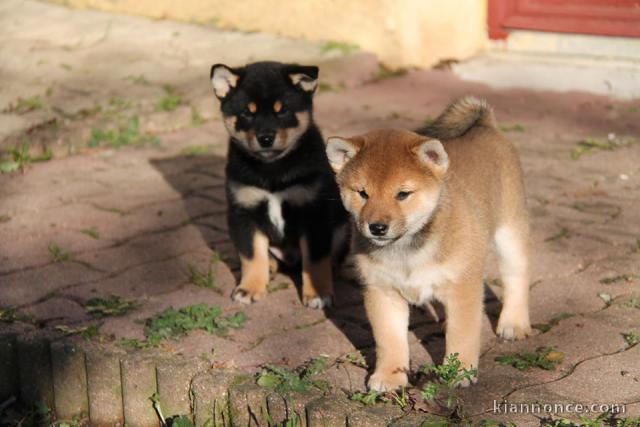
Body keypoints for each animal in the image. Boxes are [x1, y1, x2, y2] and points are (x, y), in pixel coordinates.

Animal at [211, 61, 348, 308]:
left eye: (282, 110)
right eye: (247, 113)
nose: (265, 138)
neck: (271, 169)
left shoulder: (314, 211)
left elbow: (315, 259)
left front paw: (319, 292)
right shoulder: (243, 212)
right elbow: (251, 254)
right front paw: (250, 287)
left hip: (342, 226)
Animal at [324, 98, 528, 392]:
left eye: (403, 194)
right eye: (362, 193)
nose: (376, 227)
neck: (407, 251)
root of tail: (486, 126)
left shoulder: (463, 285)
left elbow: (463, 335)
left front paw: (460, 372)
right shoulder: (382, 291)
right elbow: (390, 341)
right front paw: (389, 377)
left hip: (510, 233)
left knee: (516, 278)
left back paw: (514, 323)